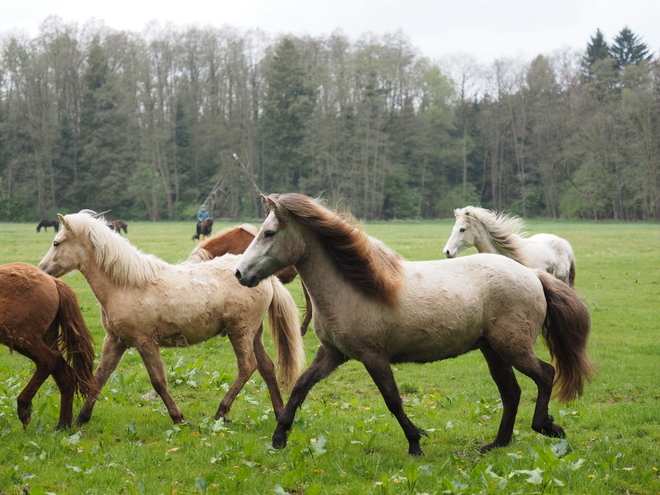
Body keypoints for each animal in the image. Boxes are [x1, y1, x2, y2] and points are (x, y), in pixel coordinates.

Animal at [0, 262, 96, 428]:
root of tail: (52, 280)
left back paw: (24, 408)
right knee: (64, 375)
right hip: (46, 337)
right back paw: (62, 426)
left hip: (20, 336)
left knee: (49, 360)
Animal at [40, 210, 308, 426]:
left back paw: (221, 412)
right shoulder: (115, 341)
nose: (42, 269)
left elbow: (158, 381)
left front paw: (177, 417)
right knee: (267, 368)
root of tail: (263, 278)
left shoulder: (144, 341)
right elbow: (100, 377)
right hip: (254, 333)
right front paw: (81, 419)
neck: (126, 284)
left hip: (239, 331)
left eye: (56, 242)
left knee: (248, 366)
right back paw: (279, 413)